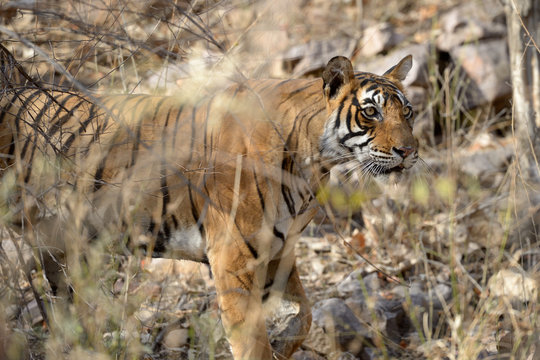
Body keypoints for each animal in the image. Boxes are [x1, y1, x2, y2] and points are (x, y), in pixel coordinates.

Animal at [0, 51, 418, 360]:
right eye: (371, 112)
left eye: (408, 112)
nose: (409, 151)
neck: (313, 162)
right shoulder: (234, 257)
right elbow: (252, 343)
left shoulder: (279, 250)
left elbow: (305, 316)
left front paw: (283, 342)